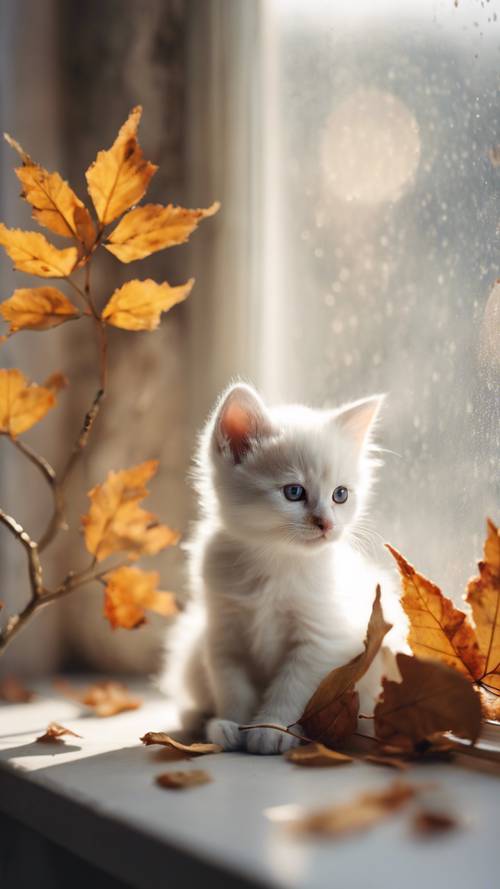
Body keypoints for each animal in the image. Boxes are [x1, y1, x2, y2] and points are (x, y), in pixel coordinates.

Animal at [164, 386, 406, 752]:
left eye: (340, 495)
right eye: (294, 492)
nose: (326, 524)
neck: (275, 559)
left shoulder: (319, 640)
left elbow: (293, 687)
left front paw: (272, 728)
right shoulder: (223, 631)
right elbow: (231, 685)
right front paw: (231, 724)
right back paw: (199, 718)